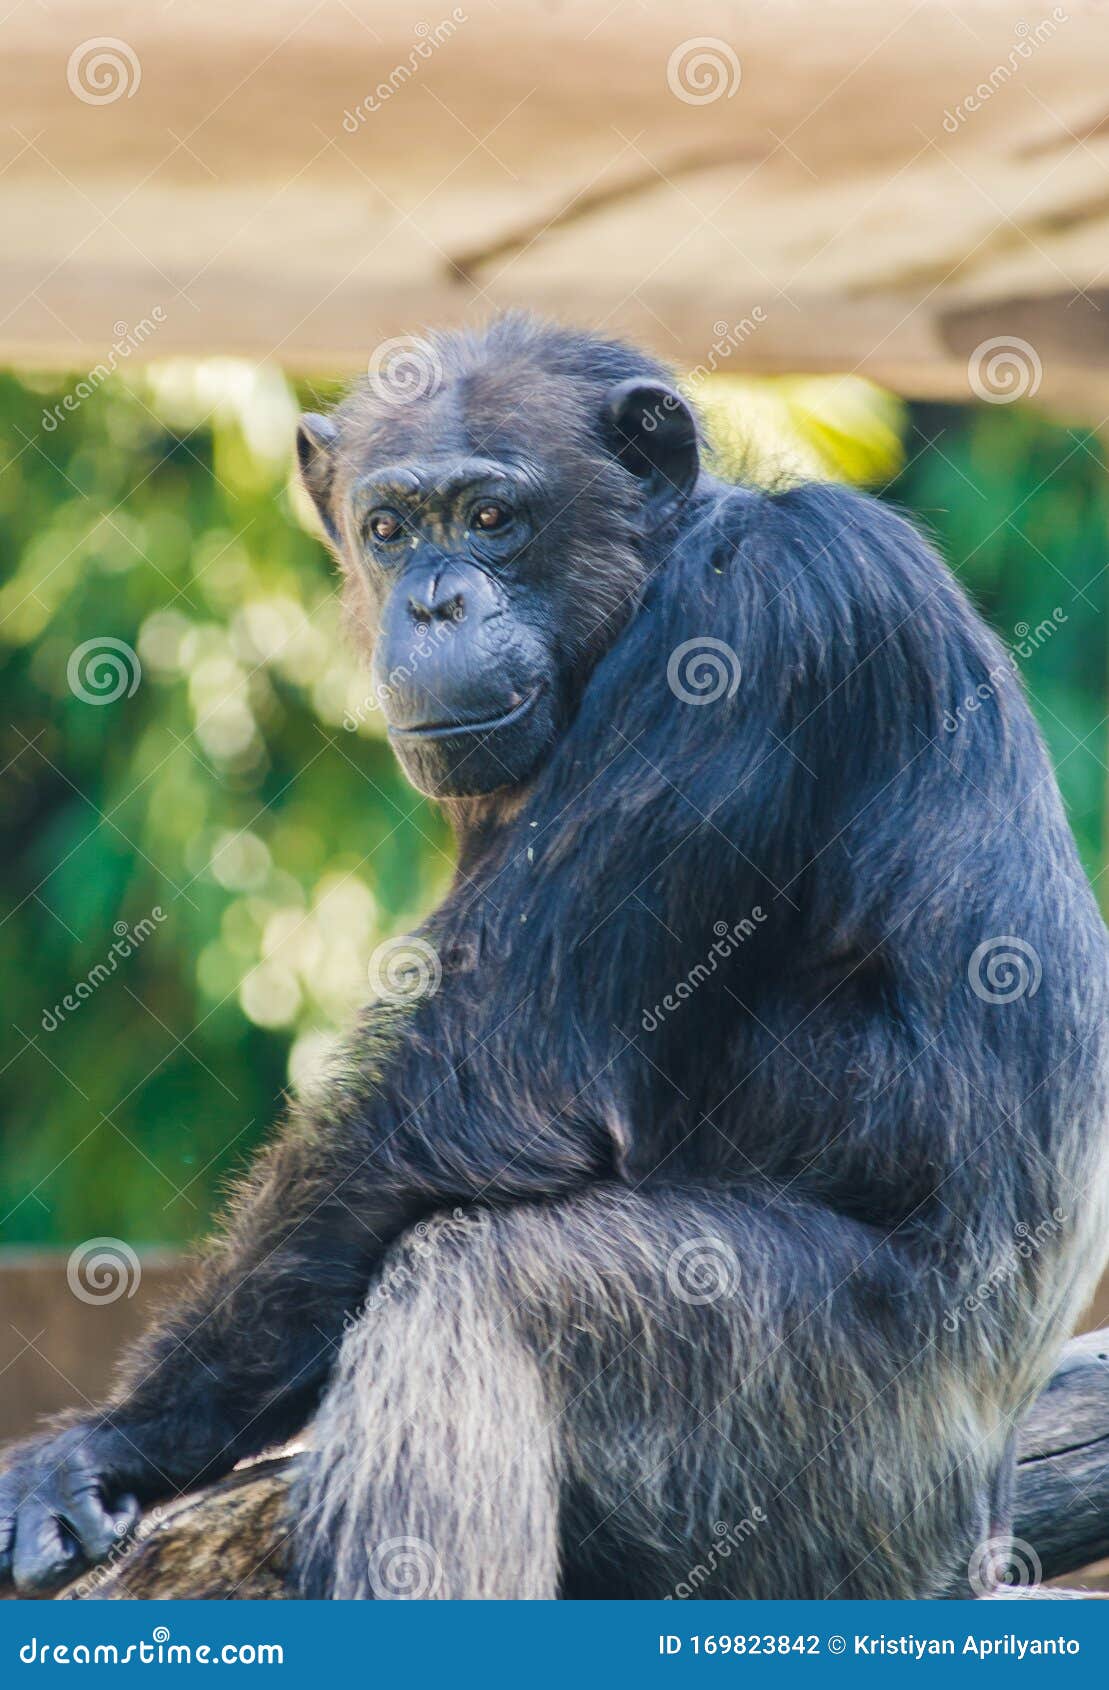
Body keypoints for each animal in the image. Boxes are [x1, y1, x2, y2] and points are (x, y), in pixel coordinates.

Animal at [2, 317, 1109, 1595]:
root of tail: (976, 1517)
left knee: (474, 1286)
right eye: (390, 528)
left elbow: (488, 1065)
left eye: (492, 517)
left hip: (842, 1448)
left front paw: (119, 1436)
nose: (434, 602)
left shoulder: (753, 626)